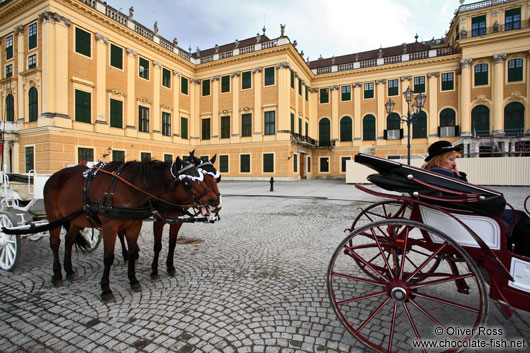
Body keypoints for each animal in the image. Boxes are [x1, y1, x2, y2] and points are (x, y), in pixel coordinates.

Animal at [43, 158, 219, 302]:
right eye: (189, 181)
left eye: (216, 178)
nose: (215, 201)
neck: (130, 189)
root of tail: (53, 176)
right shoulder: (113, 226)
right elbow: (110, 257)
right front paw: (106, 289)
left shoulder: (138, 224)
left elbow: (165, 245)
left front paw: (136, 280)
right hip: (54, 218)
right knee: (55, 243)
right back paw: (57, 274)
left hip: (76, 220)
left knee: (69, 241)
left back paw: (70, 270)